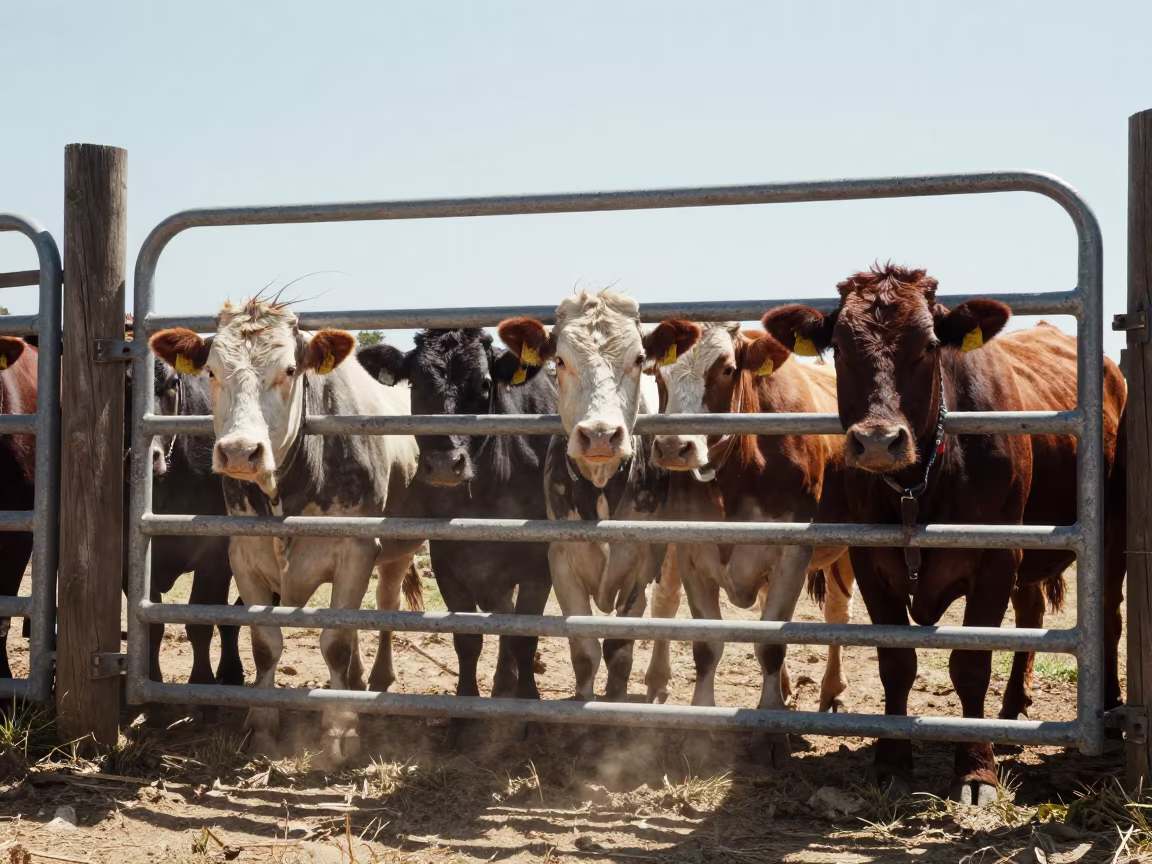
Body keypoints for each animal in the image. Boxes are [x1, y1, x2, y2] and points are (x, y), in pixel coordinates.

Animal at [150, 297, 423, 767]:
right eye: (211, 371)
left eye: (290, 370)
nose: (240, 451)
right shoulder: (243, 555)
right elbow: (265, 643)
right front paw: (261, 724)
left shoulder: (357, 550)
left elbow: (336, 642)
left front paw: (339, 730)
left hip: (398, 551)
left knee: (385, 604)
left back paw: (377, 677)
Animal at [357, 329, 556, 719]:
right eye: (414, 384)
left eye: (485, 383)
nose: (446, 465)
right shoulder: (448, 563)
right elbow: (467, 639)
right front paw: (466, 705)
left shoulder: (538, 568)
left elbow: (525, 635)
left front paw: (529, 699)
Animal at [497, 291, 671, 703]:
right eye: (560, 360)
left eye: (639, 358)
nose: (601, 435)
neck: (601, 487)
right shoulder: (561, 561)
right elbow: (586, 650)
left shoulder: (641, 565)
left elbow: (619, 649)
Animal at [639, 320, 856, 736]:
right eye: (658, 373)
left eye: (726, 369)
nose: (674, 447)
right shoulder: (691, 548)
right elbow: (707, 643)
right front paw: (702, 712)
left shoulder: (793, 553)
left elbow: (771, 642)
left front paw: (770, 717)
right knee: (665, 600)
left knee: (837, 613)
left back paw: (832, 691)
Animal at [762, 264, 1127, 804]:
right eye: (841, 348)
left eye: (930, 345)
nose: (878, 441)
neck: (920, 488)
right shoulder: (872, 563)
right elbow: (896, 664)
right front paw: (891, 764)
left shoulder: (996, 558)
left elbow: (971, 665)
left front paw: (976, 770)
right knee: (1031, 613)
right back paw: (1012, 710)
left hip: (1110, 533)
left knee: (1110, 617)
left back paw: (1112, 711)